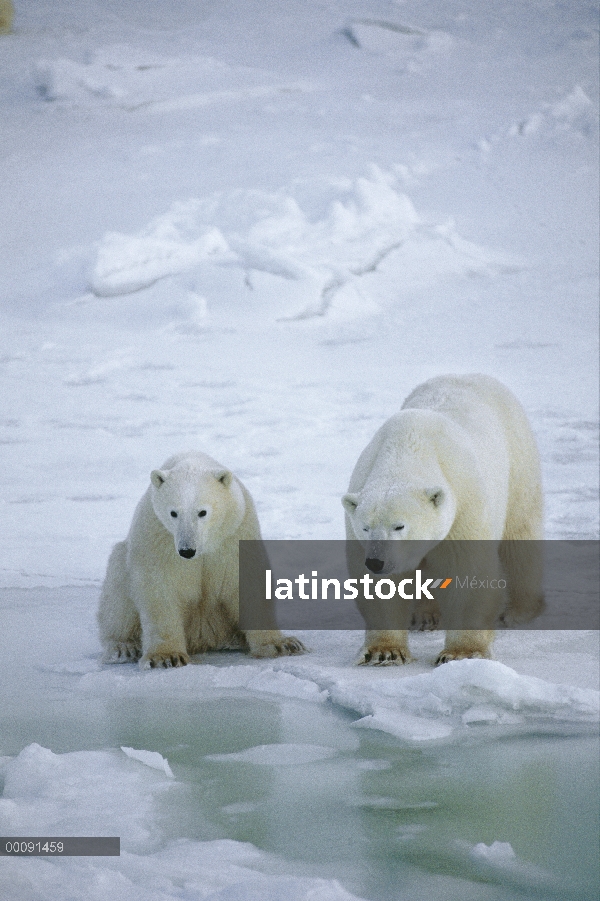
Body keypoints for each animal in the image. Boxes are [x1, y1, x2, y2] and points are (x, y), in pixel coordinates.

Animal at [99, 450, 308, 668]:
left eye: (202, 512)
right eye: (173, 512)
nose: (187, 550)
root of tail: (204, 637)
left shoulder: (233, 534)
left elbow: (247, 581)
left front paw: (282, 645)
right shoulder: (159, 537)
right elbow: (160, 587)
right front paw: (167, 657)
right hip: (123, 566)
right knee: (117, 597)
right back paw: (123, 648)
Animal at [342, 370, 544, 660]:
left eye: (399, 526)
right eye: (365, 527)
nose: (376, 562)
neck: (407, 448)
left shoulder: (465, 506)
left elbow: (468, 572)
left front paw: (462, 653)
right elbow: (378, 587)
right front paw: (384, 651)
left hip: (518, 458)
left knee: (520, 534)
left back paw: (520, 611)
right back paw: (426, 616)